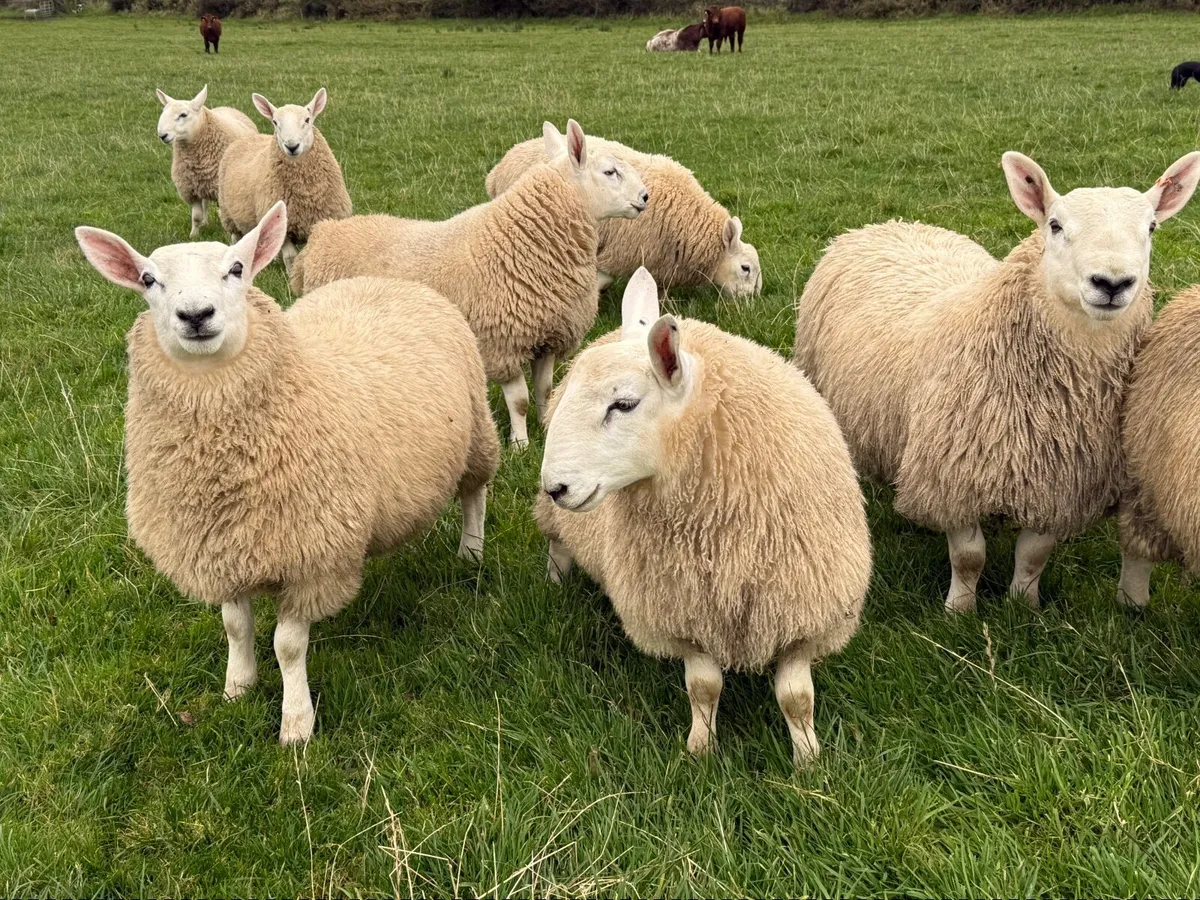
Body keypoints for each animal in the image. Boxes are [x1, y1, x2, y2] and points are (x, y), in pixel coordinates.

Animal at [74, 201, 501, 745]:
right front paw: (238, 688)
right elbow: (235, 627)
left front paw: (296, 724)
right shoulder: (222, 550)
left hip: (477, 431)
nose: (196, 316)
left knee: (474, 493)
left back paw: (471, 551)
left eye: (236, 269)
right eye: (149, 279)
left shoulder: (311, 558)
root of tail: (385, 281)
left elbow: (288, 647)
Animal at [155, 85, 257, 239]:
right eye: (163, 112)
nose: (162, 135)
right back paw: (205, 223)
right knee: (205, 203)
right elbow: (196, 216)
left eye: (183, 115)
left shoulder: (219, 189)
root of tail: (226, 107)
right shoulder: (191, 189)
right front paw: (194, 235)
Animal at [217, 88, 352, 273]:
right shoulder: (286, 226)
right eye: (275, 122)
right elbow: (290, 257)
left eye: (307, 120)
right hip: (228, 215)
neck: (306, 194)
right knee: (236, 238)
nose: (292, 146)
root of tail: (249, 137)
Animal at [291, 120, 650, 450]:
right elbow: (519, 401)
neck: (525, 241)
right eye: (610, 172)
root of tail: (322, 235)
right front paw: (520, 445)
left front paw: (548, 426)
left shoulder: (547, 335)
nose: (645, 196)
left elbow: (544, 390)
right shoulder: (501, 341)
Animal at [535, 267, 871, 766]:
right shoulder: (684, 613)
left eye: (624, 404)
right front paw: (701, 750)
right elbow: (704, 687)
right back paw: (557, 579)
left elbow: (796, 699)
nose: (555, 486)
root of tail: (635, 324)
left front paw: (809, 760)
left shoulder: (802, 612)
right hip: (557, 524)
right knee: (558, 544)